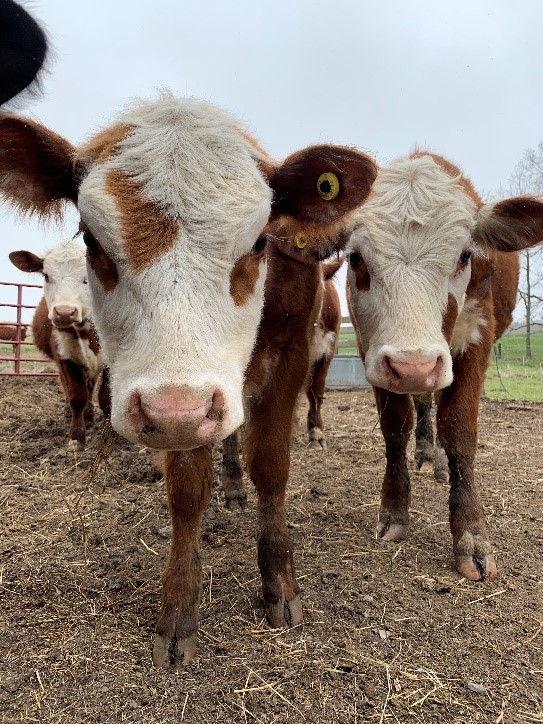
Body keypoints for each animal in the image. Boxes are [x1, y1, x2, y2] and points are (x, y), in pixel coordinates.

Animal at [9, 240, 109, 451]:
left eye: (88, 277)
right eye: (46, 275)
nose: (64, 312)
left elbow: (105, 397)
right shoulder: (66, 358)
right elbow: (77, 397)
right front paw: (77, 437)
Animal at [345, 150, 543, 583]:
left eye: (465, 254)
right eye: (355, 257)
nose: (413, 365)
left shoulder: (477, 338)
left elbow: (459, 430)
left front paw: (472, 535)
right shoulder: (373, 351)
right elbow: (395, 426)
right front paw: (394, 510)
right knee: (423, 402)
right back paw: (425, 453)